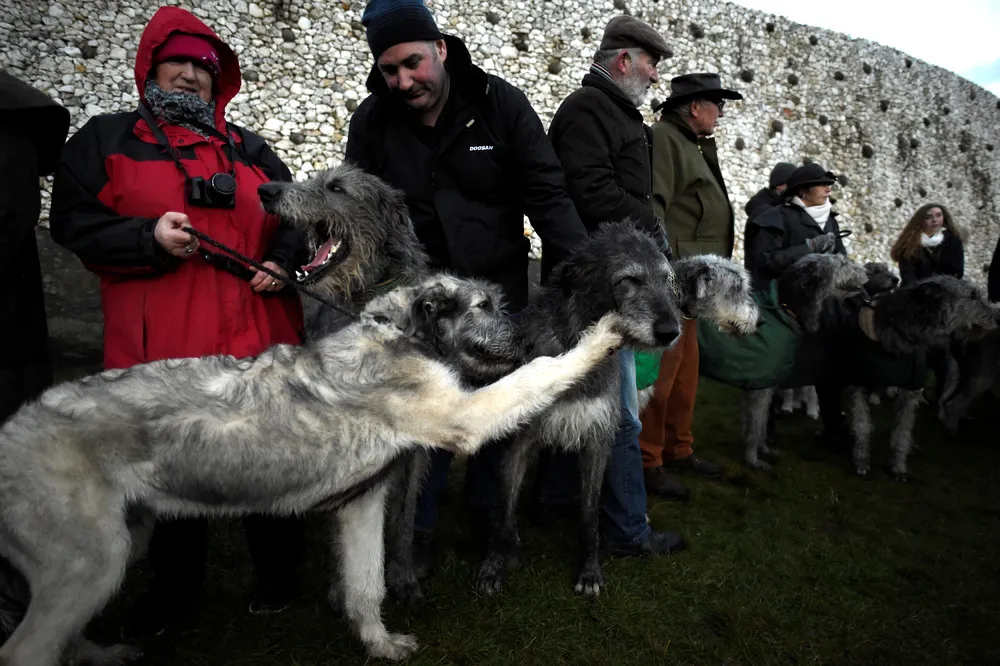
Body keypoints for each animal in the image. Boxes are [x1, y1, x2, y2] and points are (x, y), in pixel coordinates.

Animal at [0, 272, 624, 664]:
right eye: (484, 307)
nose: (526, 335)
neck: (403, 335)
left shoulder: (363, 503)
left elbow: (366, 583)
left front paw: (378, 645)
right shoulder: (466, 415)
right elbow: (541, 373)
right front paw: (596, 339)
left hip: (123, 541)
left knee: (61, 635)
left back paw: (99, 654)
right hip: (90, 558)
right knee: (25, 648)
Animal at [476, 226, 756, 592]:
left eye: (666, 281)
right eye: (630, 280)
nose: (757, 321)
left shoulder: (598, 428)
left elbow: (590, 510)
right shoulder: (523, 435)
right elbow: (505, 509)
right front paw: (497, 561)